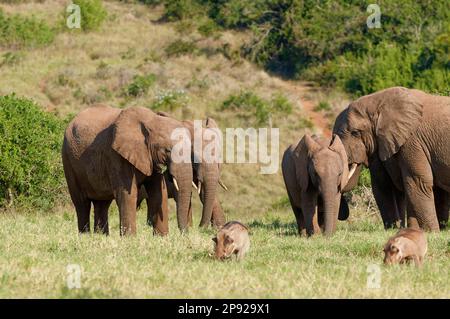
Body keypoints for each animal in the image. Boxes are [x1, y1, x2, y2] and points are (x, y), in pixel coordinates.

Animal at [60, 104, 192, 236]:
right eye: (167, 150)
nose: (183, 234)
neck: (151, 121)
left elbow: (159, 194)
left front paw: (161, 238)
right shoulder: (117, 155)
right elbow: (127, 194)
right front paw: (130, 238)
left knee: (102, 203)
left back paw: (101, 236)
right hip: (68, 160)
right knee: (82, 203)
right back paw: (85, 236)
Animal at [334, 87, 450, 232]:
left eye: (355, 133)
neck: (379, 102)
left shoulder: (412, 142)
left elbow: (418, 182)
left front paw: (431, 232)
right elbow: (385, 185)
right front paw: (395, 229)